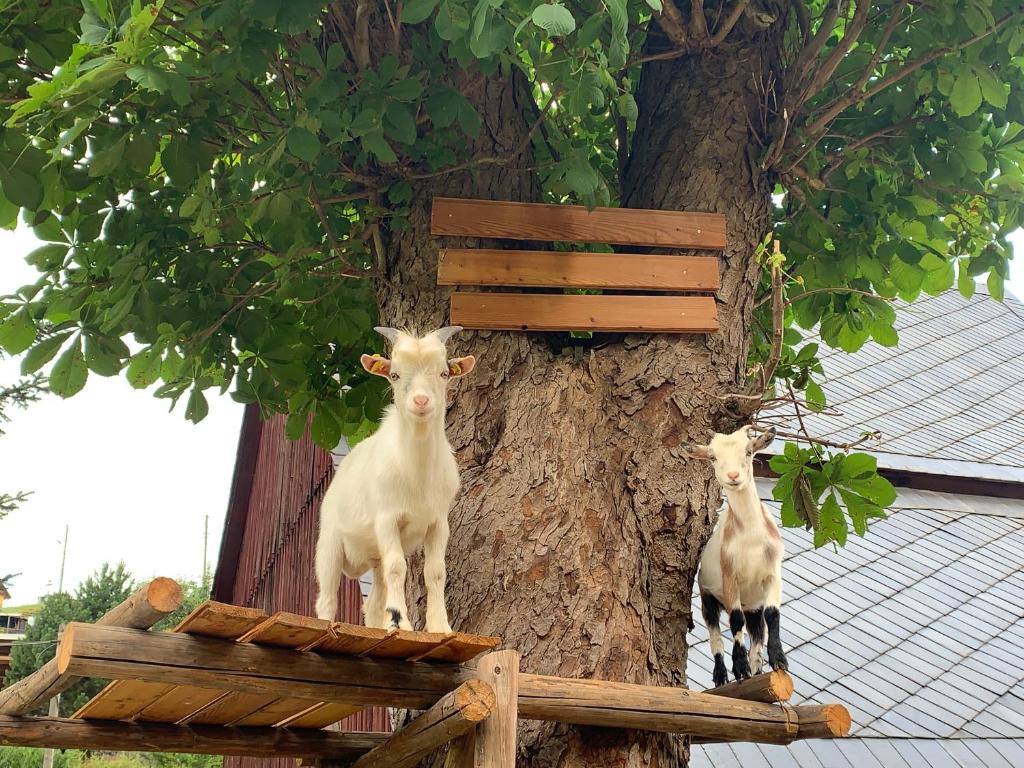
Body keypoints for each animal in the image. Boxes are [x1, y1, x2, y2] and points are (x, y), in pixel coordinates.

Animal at [313, 325, 477, 630]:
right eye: (395, 375)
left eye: (444, 373)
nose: (421, 401)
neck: (417, 475)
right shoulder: (387, 518)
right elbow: (398, 567)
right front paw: (400, 623)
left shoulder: (439, 523)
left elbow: (435, 572)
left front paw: (440, 627)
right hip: (329, 542)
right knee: (327, 597)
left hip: (373, 556)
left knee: (373, 602)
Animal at [684, 430, 786, 688]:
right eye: (713, 457)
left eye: (749, 451)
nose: (733, 476)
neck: (751, 538)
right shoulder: (730, 576)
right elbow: (735, 620)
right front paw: (739, 668)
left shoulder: (773, 574)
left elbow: (773, 614)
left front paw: (779, 660)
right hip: (708, 598)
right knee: (716, 635)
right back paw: (721, 675)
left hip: (753, 606)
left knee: (757, 636)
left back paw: (757, 670)